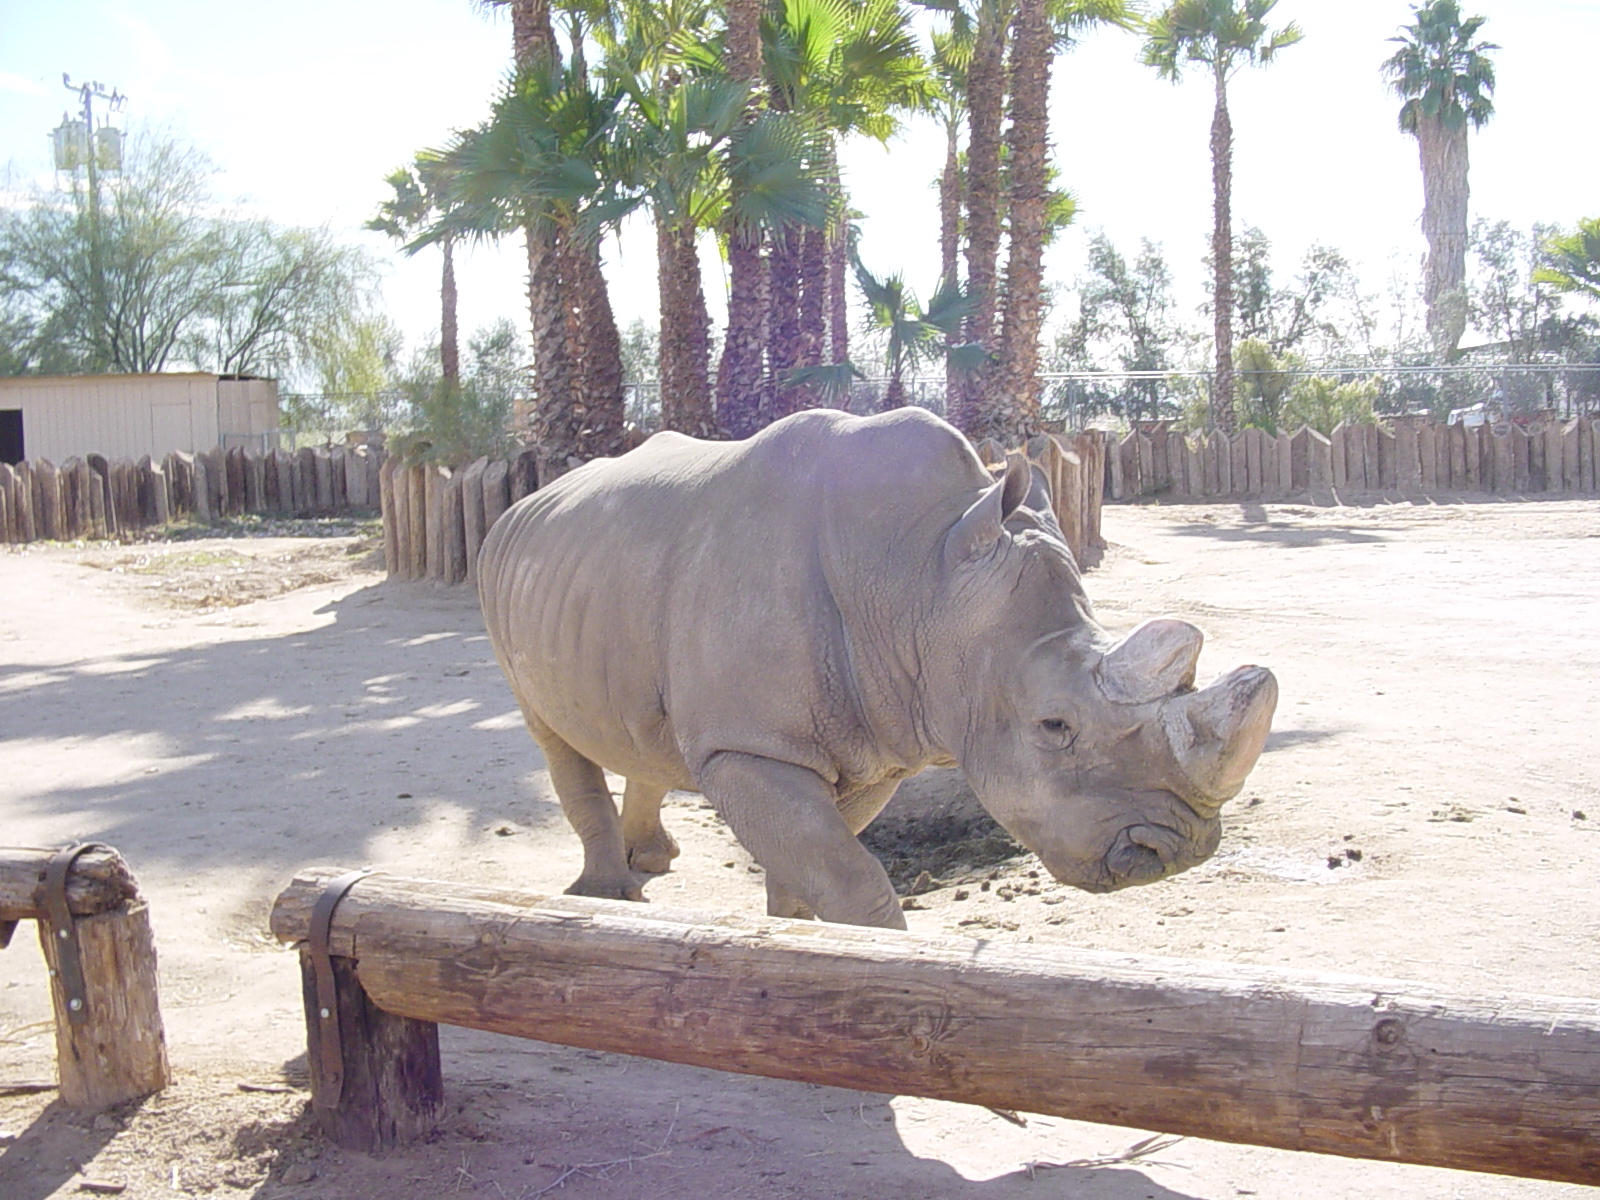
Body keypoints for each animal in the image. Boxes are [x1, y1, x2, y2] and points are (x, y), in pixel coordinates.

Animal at [478, 408, 1277, 929]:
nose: (1175, 851)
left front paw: (796, 935)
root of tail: (523, 503)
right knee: (551, 734)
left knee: (640, 729)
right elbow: (848, 870)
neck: (921, 577)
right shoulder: (750, 744)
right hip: (502, 569)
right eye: (1054, 725)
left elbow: (817, 860)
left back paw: (652, 862)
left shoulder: (877, 744)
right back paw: (606, 898)